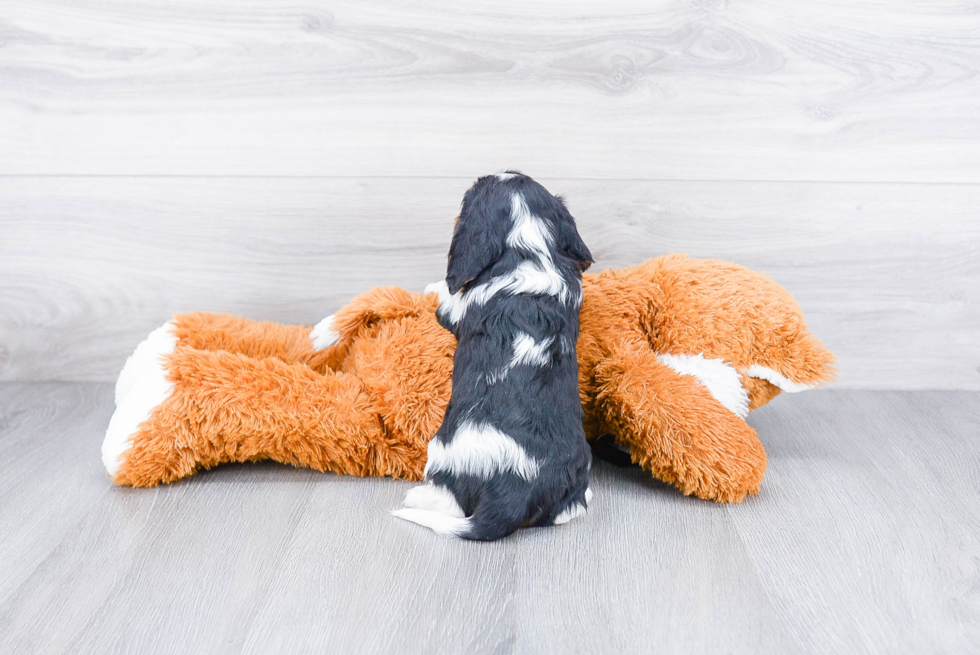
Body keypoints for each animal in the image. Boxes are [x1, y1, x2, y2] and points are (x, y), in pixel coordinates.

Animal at [392, 172, 592, 540]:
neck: (530, 249)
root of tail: (514, 493)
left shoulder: (456, 308)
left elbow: (444, 295)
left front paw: (430, 287)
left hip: (441, 453)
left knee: (445, 501)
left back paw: (416, 496)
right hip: (574, 483)